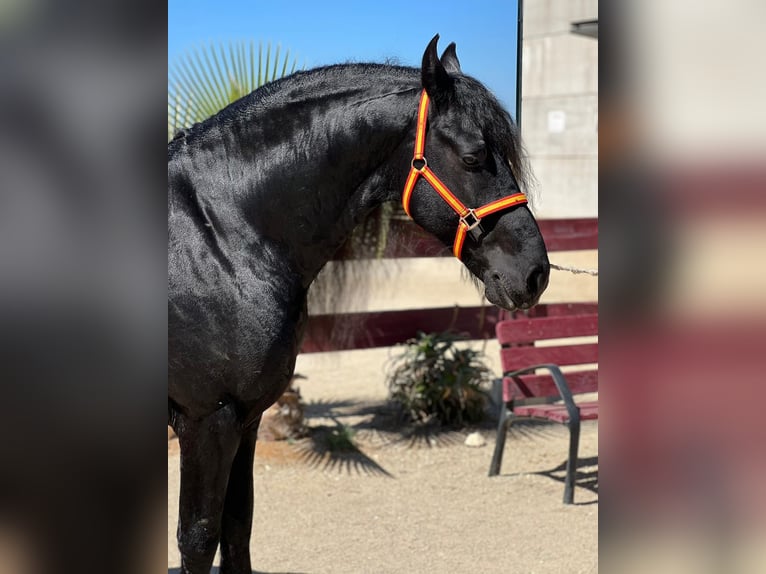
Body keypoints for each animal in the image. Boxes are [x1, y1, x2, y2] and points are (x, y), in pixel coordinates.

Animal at [168, 35, 550, 574]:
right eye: (475, 156)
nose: (535, 273)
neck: (218, 234)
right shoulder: (206, 420)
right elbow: (200, 539)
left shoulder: (246, 417)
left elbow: (237, 528)